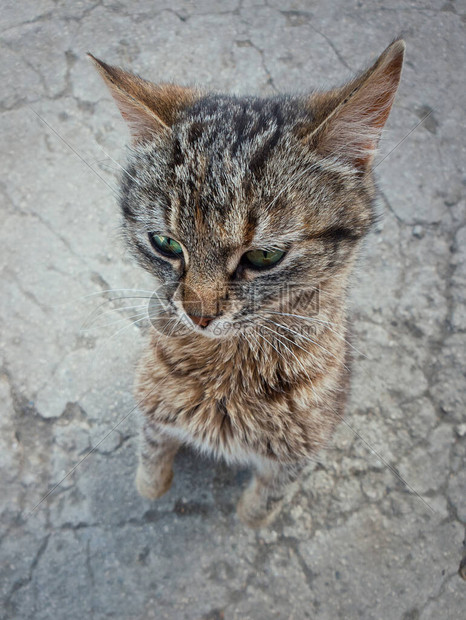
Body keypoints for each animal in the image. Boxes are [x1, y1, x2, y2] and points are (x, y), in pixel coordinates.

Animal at [90, 38, 404, 524]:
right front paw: (152, 480)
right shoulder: (152, 398)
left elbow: (265, 500)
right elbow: (151, 450)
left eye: (263, 255)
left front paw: (250, 512)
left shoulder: (301, 449)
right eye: (165, 243)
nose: (198, 315)